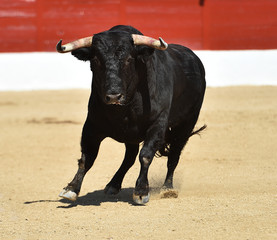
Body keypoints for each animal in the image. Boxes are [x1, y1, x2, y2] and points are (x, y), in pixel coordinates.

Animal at [57, 24, 206, 204]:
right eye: (96, 60)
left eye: (129, 59)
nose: (114, 96)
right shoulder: (92, 125)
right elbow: (87, 157)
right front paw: (71, 188)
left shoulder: (158, 123)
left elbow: (146, 155)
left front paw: (141, 191)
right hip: (132, 135)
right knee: (130, 156)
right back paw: (113, 185)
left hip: (186, 124)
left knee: (174, 155)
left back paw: (167, 188)